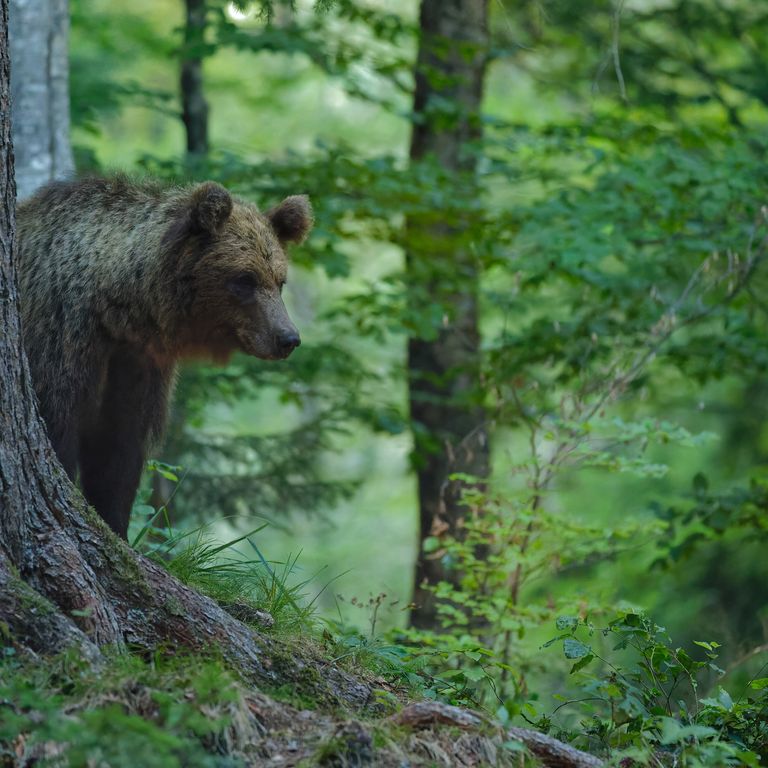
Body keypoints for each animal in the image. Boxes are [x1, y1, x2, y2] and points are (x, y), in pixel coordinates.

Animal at [16, 176, 312, 539]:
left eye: (279, 281)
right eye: (245, 279)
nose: (288, 338)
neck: (115, 307)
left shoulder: (137, 363)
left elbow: (119, 452)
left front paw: (116, 527)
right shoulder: (62, 337)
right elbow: (59, 424)